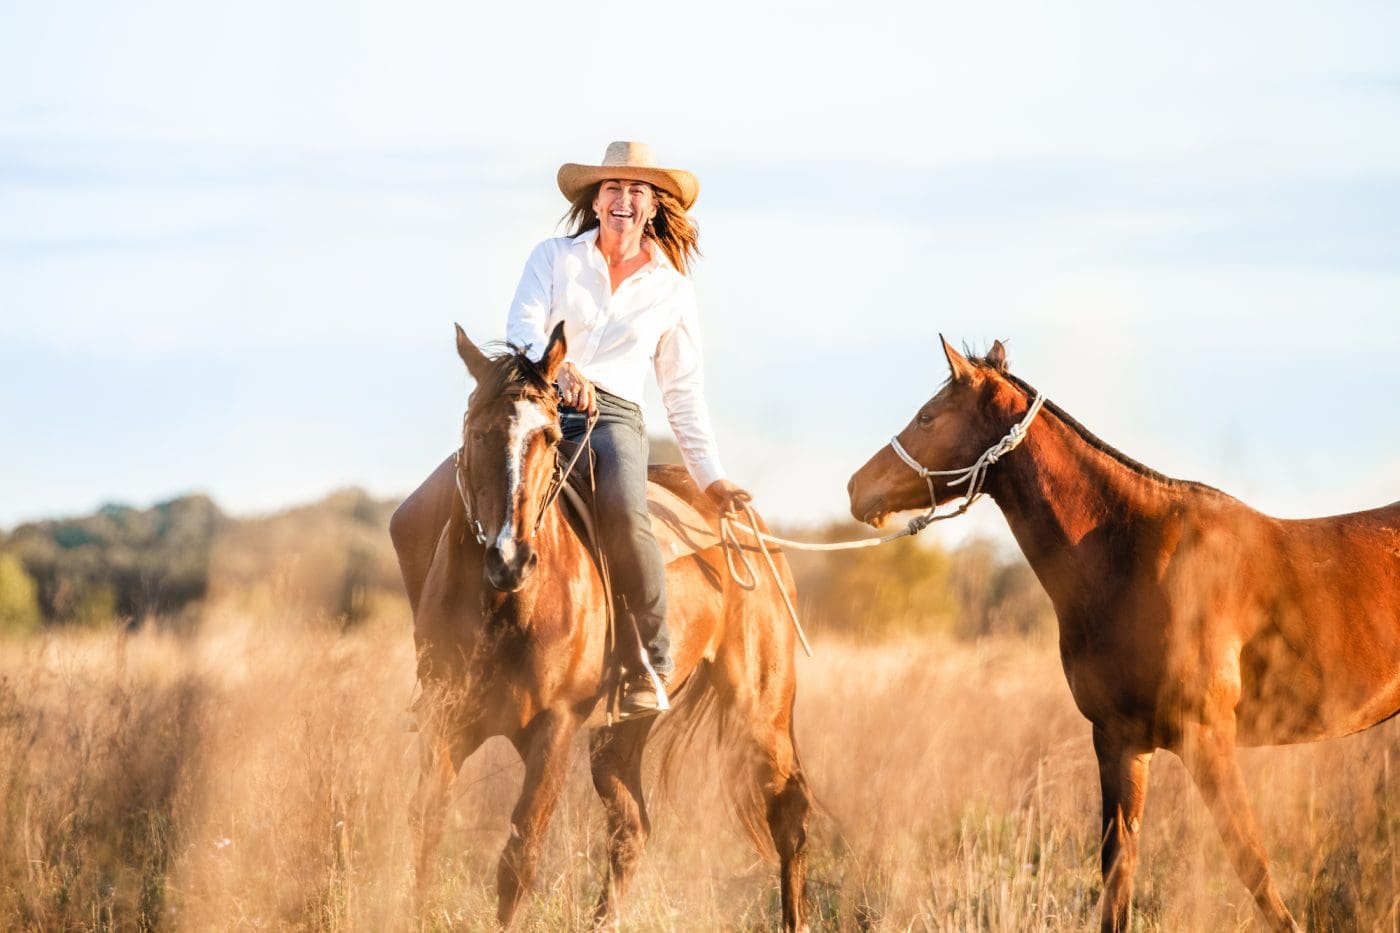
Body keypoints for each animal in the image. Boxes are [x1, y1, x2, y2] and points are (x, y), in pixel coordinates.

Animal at [389, 323, 817, 924]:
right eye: (476, 433)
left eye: (548, 437)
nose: (510, 558)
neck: (503, 606)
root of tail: (743, 520)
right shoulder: (444, 723)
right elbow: (425, 836)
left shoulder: (554, 729)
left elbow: (519, 858)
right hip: (621, 733)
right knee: (631, 828)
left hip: (760, 709)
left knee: (788, 816)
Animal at [840, 336, 1400, 930]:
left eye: (927, 416)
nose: (856, 487)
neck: (1136, 555)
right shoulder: (1119, 741)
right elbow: (1117, 874)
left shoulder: (1206, 738)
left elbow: (1254, 866)